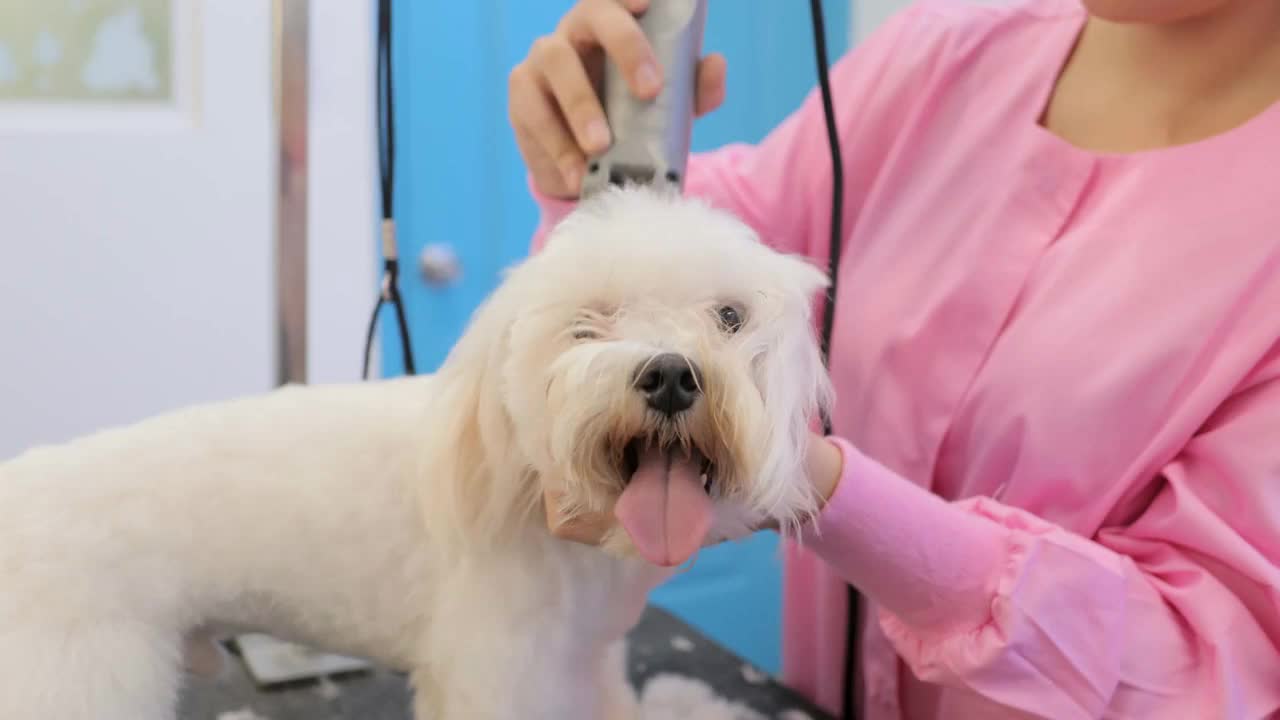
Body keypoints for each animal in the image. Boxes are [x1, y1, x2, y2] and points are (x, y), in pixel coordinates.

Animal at [0, 185, 834, 717]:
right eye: (588, 322)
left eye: (730, 317)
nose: (668, 374)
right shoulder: (496, 670)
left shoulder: (583, 658)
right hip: (71, 671)